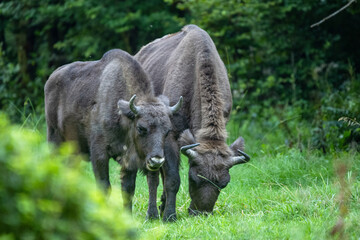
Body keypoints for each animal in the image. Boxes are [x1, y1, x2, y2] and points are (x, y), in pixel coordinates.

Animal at [135, 24, 250, 218]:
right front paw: (170, 216)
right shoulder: (171, 135)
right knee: (154, 176)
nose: (201, 212)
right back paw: (153, 213)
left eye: (224, 183)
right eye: (194, 177)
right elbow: (172, 178)